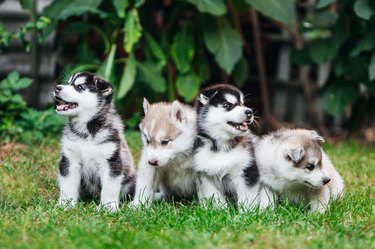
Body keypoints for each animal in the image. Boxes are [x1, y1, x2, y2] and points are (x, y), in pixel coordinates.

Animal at [53, 72, 135, 212]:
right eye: (69, 83)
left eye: (80, 87)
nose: (57, 87)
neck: (87, 133)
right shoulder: (69, 159)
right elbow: (68, 184)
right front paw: (66, 204)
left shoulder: (111, 161)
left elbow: (110, 187)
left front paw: (108, 207)